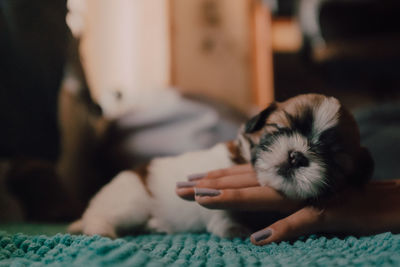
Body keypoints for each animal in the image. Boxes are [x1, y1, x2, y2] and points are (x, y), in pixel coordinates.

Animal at [68, 93, 372, 239]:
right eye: (279, 129)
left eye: (333, 158)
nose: (296, 156)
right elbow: (223, 211)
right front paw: (233, 228)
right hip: (129, 203)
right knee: (100, 216)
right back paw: (100, 230)